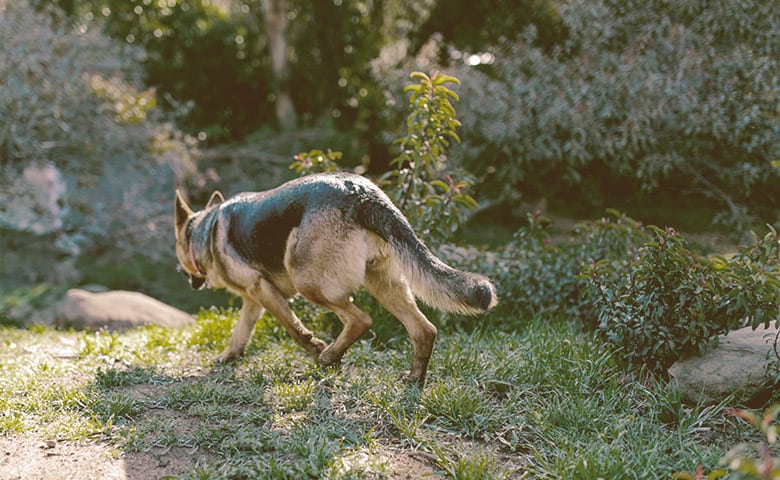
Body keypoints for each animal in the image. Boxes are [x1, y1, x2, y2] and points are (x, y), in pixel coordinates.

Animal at [174, 171, 496, 384]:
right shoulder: (254, 298)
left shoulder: (260, 289)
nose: (185, 277)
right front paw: (229, 357)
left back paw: (328, 357)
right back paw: (414, 377)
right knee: (423, 329)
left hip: (309, 282)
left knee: (360, 319)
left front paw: (314, 346)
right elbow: (241, 332)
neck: (206, 229)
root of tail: (361, 192)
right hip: (384, 284)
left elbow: (293, 327)